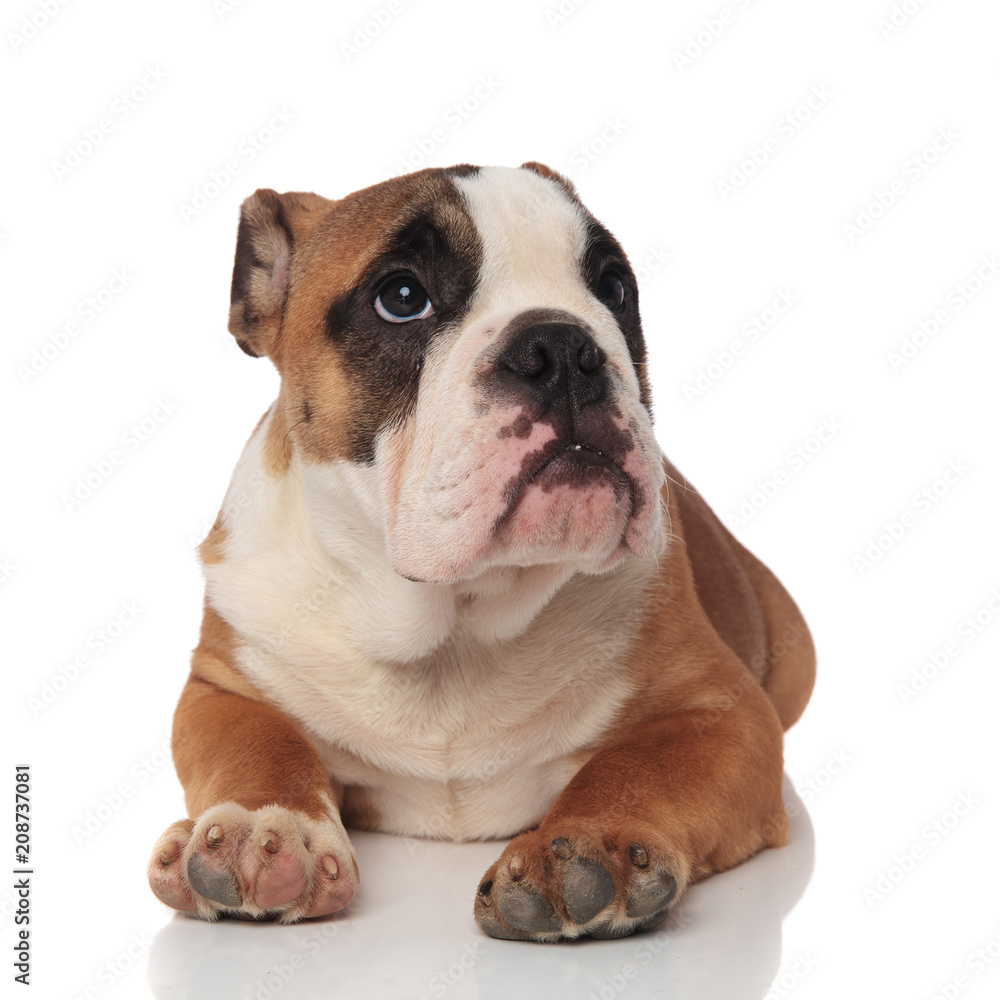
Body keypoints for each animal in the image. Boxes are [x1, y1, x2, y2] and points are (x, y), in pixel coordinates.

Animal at [150, 160, 820, 940]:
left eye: (613, 288)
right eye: (402, 297)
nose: (563, 347)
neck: (456, 617)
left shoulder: (721, 711)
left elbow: (636, 770)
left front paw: (589, 841)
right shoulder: (224, 688)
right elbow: (260, 743)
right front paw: (260, 830)